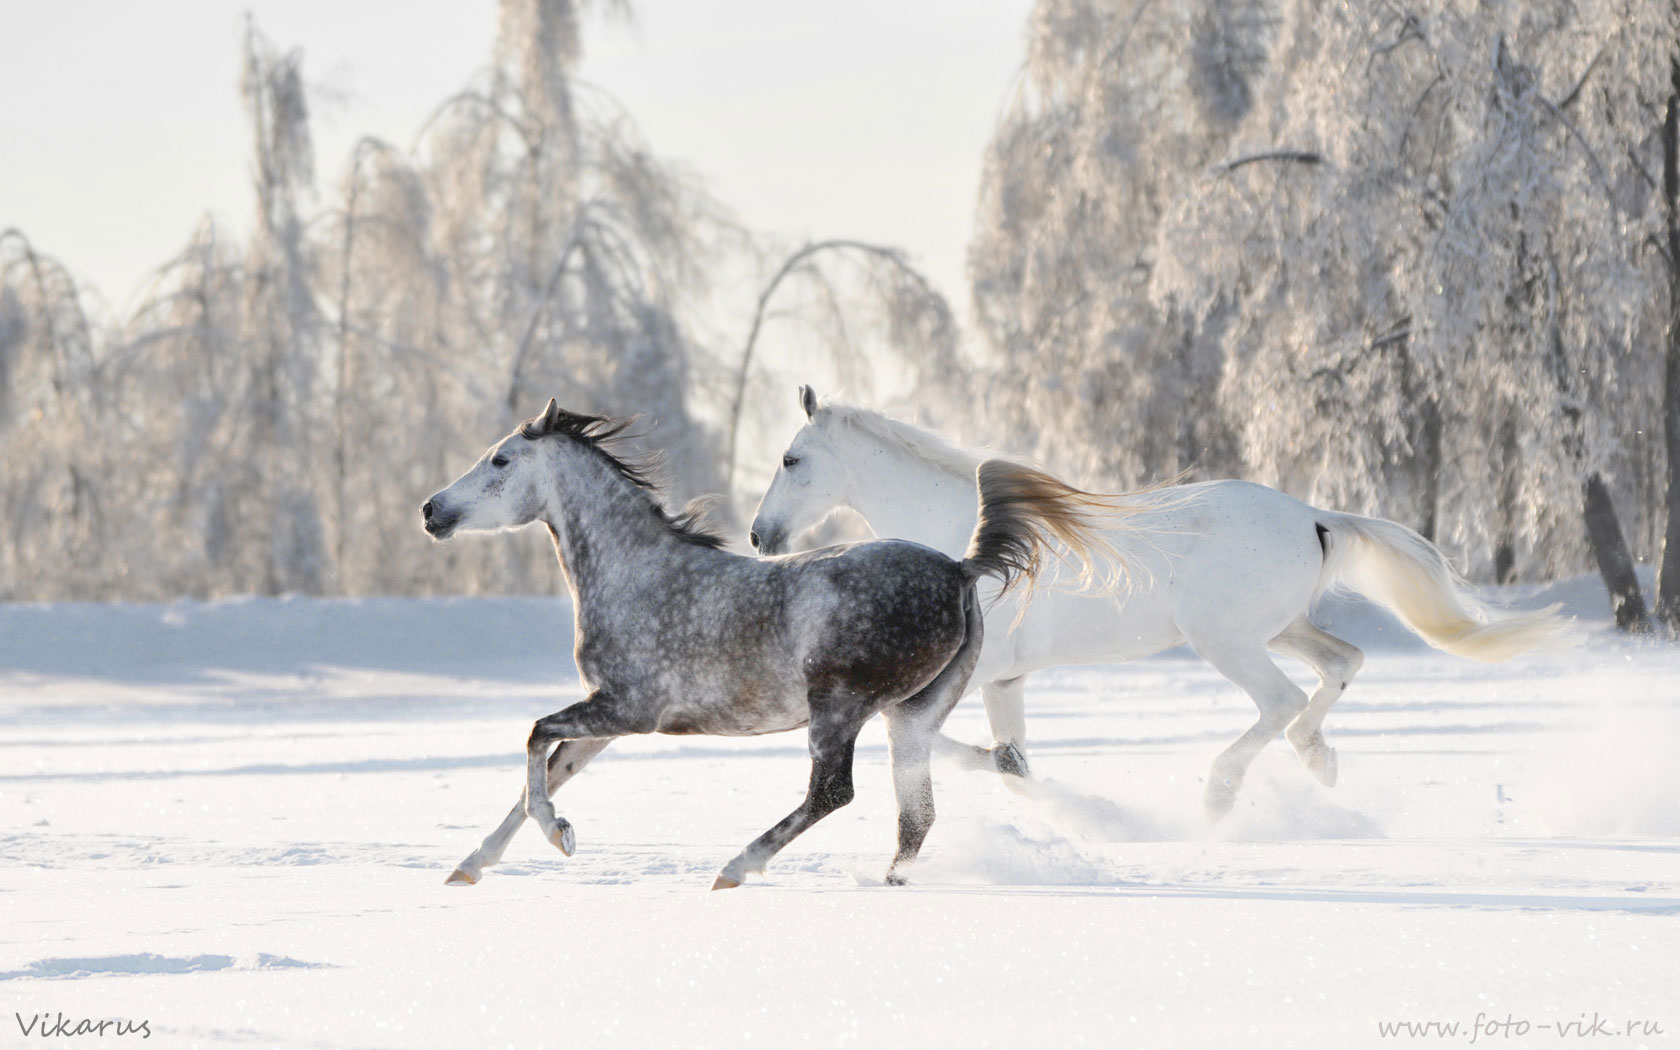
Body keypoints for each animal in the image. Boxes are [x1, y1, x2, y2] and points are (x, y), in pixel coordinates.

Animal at [420, 396, 1108, 887]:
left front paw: (558, 835)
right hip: (911, 717)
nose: (431, 510)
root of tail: (960, 570)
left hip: (838, 709)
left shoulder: (627, 711)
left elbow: (536, 739)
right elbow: (547, 770)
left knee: (833, 792)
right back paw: (884, 880)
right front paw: (471, 866)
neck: (633, 572)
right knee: (916, 816)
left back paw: (735, 868)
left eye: (500, 460)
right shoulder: (607, 718)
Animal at [749, 389, 1559, 816]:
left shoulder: (973, 676)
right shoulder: (1007, 680)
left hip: (1228, 643)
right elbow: (1011, 759)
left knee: (1283, 701)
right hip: (1281, 630)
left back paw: (1221, 791)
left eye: (791, 458)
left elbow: (932, 740)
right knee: (1341, 665)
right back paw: (1318, 762)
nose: (759, 535)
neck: (962, 545)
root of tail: (1314, 516)